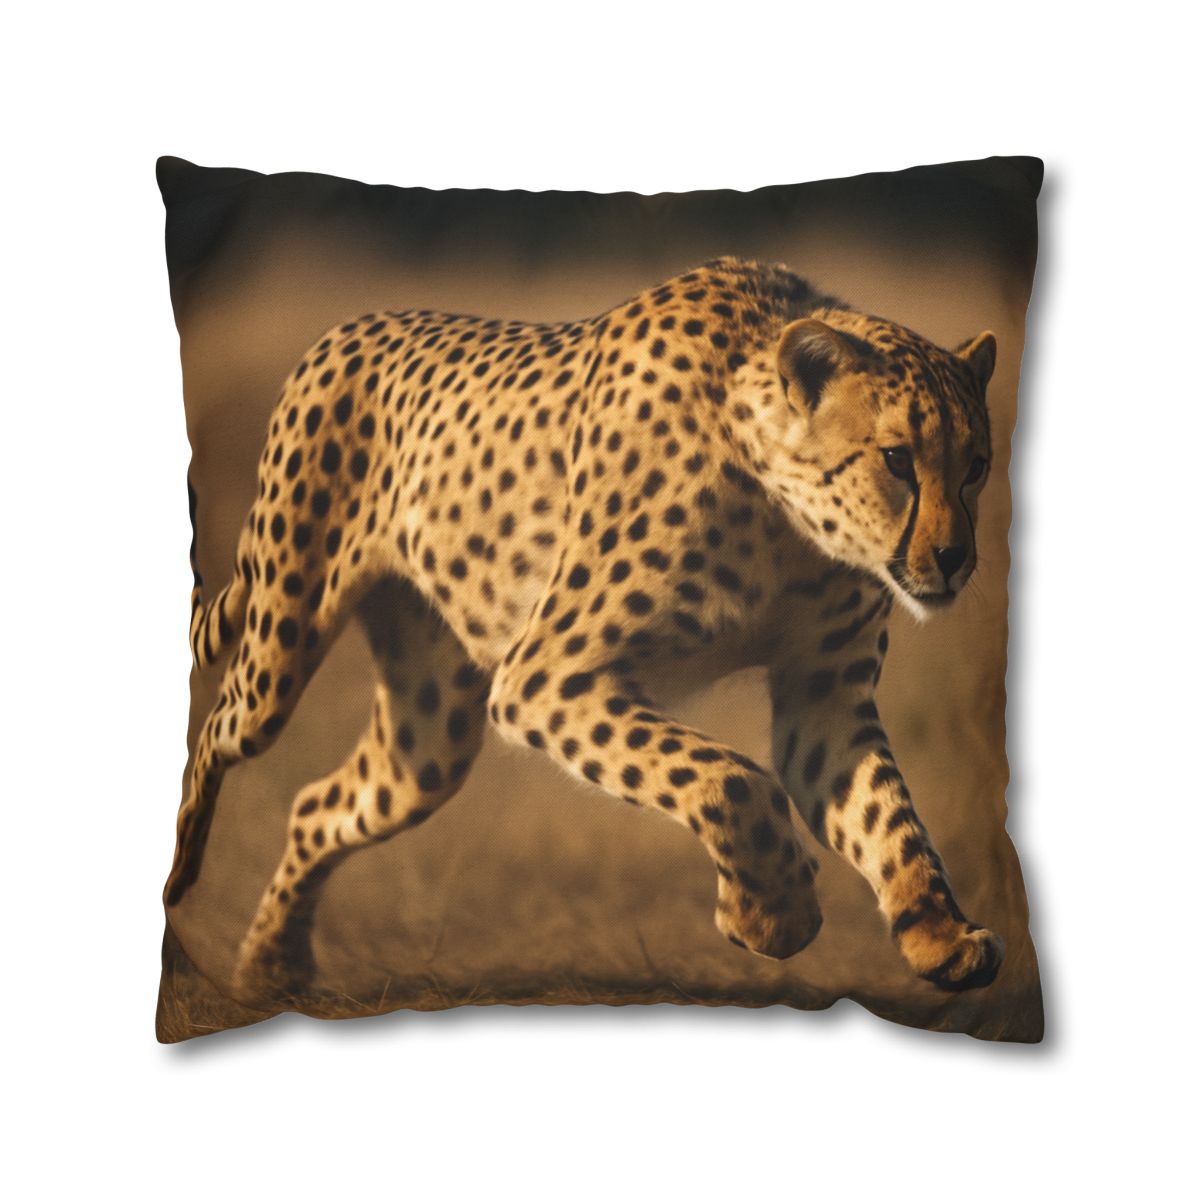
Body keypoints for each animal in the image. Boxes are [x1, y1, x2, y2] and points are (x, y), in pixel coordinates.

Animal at [167, 255, 1004, 1006]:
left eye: (976, 467)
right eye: (897, 459)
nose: (953, 559)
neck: (787, 521)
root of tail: (348, 326)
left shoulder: (822, 699)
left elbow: (888, 816)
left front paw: (938, 934)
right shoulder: (547, 675)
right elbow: (730, 780)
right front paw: (772, 914)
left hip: (428, 737)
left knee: (320, 804)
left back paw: (272, 969)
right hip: (281, 643)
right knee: (214, 731)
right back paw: (181, 879)